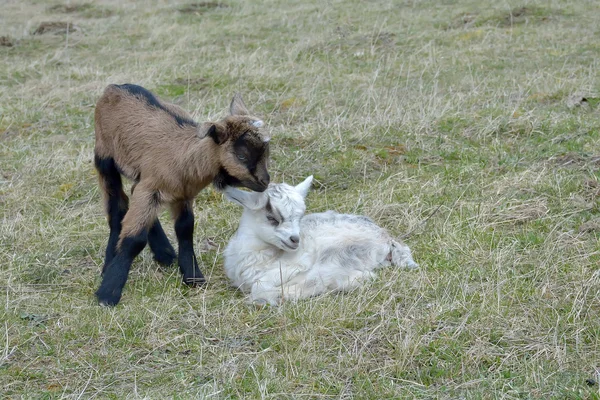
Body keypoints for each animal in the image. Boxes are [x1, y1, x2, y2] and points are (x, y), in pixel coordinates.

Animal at [95, 83, 270, 304]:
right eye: (242, 155)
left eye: (266, 152)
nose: (265, 181)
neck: (184, 157)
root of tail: (113, 87)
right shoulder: (151, 188)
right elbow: (134, 239)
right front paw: (108, 293)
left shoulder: (182, 195)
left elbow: (185, 230)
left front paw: (193, 277)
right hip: (104, 156)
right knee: (116, 202)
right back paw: (110, 262)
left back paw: (165, 254)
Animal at [221, 177, 418, 304]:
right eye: (271, 218)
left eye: (300, 217)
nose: (295, 239)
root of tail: (387, 238)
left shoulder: (296, 264)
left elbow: (262, 285)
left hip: (337, 251)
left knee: (320, 279)